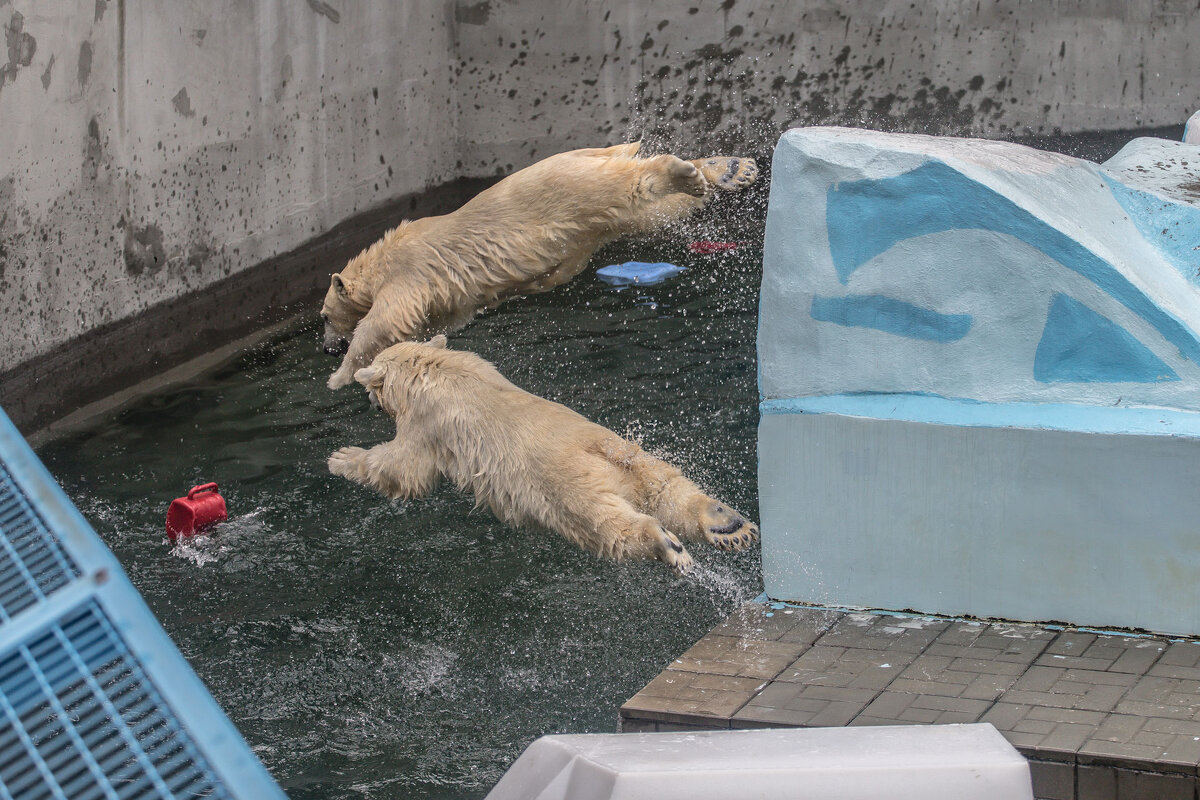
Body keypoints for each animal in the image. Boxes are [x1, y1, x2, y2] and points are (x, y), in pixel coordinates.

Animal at [324, 144, 753, 393]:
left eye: (325, 316)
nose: (327, 348)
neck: (379, 259)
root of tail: (589, 152)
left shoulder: (409, 269)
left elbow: (387, 318)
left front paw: (339, 375)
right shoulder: (448, 300)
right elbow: (430, 323)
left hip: (565, 190)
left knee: (629, 185)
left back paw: (690, 173)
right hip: (597, 215)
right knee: (647, 210)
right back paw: (729, 170)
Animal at [326, 338, 758, 575]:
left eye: (371, 390)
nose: (371, 402)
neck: (432, 367)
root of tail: (598, 450)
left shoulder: (427, 423)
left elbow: (403, 467)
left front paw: (341, 457)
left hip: (566, 487)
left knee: (611, 528)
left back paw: (668, 546)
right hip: (635, 458)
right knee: (668, 490)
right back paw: (728, 525)